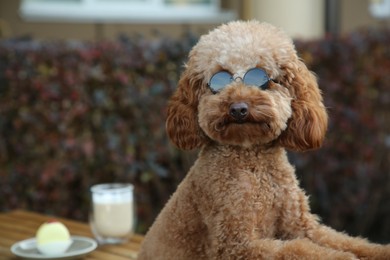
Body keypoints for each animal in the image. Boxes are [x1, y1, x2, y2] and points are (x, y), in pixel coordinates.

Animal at [138, 20, 390, 260]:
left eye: (260, 76)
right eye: (220, 79)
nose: (238, 108)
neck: (254, 162)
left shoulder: (301, 225)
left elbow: (348, 241)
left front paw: (379, 251)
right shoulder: (236, 244)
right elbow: (298, 249)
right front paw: (341, 257)